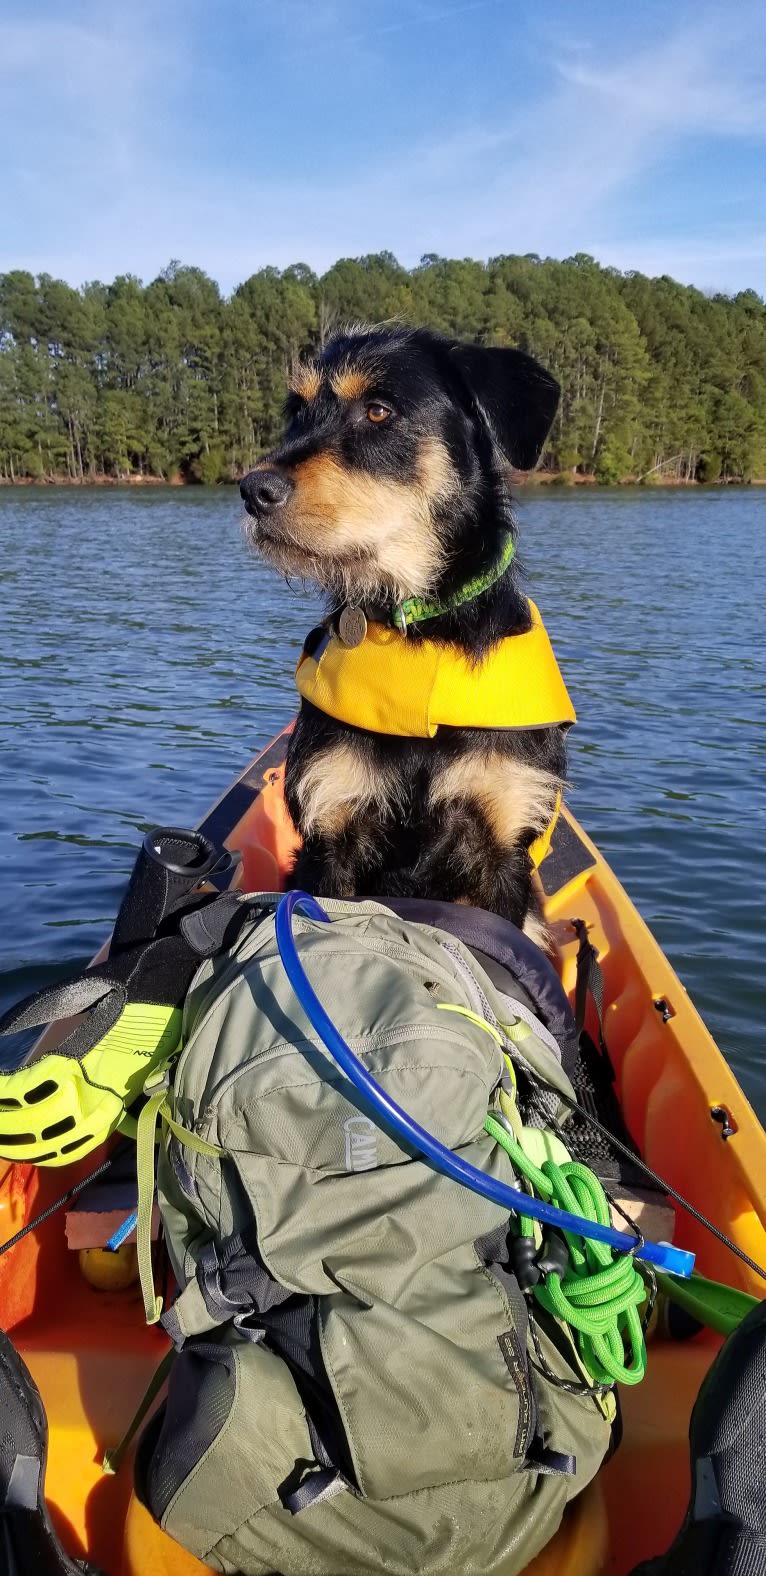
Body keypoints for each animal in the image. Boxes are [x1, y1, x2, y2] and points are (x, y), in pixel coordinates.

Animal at [241, 319, 573, 932]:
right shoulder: (331, 834)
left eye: (378, 410)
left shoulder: (502, 840)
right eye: (297, 411)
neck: (421, 631)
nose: (253, 490)